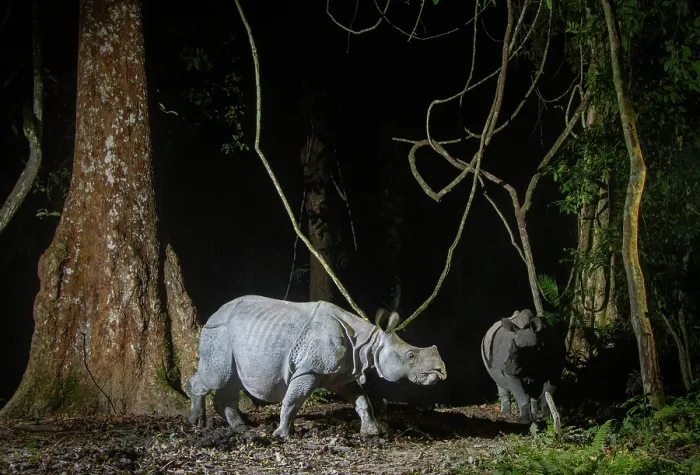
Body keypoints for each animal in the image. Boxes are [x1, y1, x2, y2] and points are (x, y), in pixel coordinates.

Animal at [186, 295, 447, 438]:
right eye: (410, 355)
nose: (441, 371)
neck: (368, 342)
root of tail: (213, 315)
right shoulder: (308, 370)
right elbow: (292, 401)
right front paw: (281, 434)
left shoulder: (341, 374)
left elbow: (362, 400)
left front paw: (372, 432)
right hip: (219, 331)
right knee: (216, 377)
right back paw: (197, 422)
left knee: (231, 381)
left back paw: (241, 428)